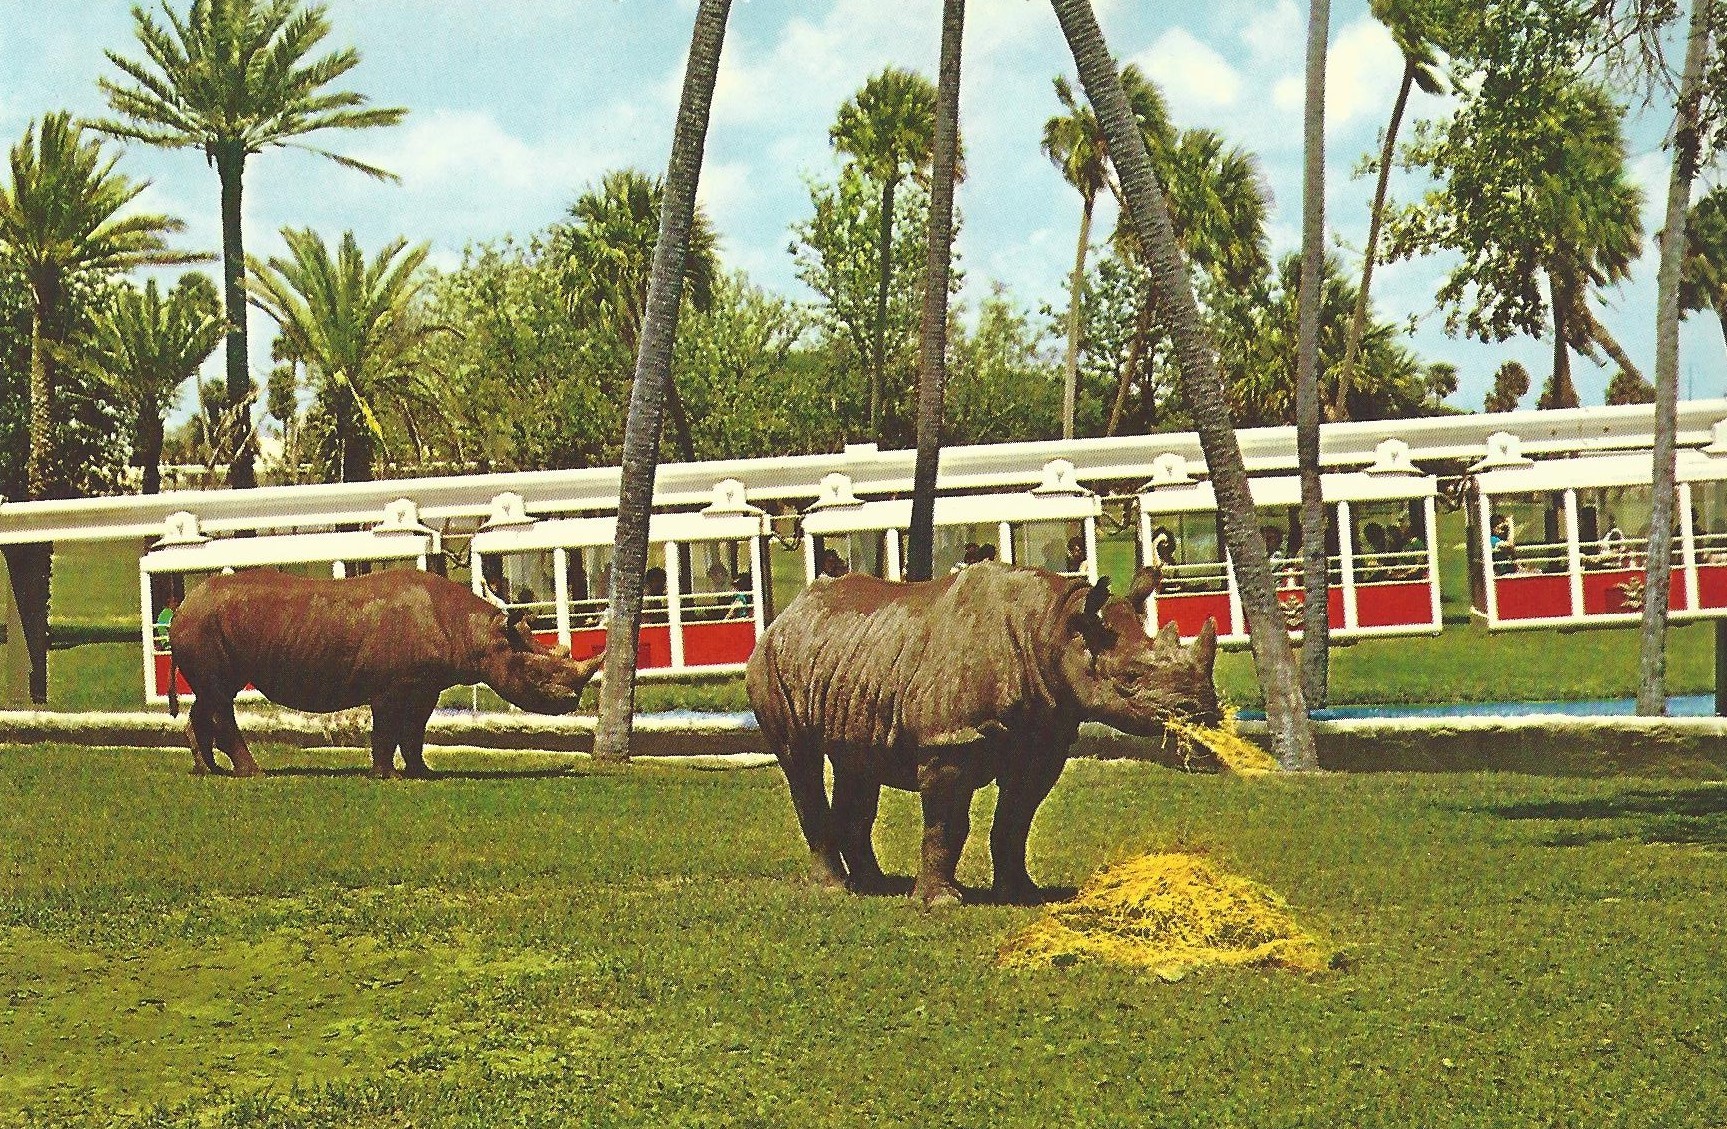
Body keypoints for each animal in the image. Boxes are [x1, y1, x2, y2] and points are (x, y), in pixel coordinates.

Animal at [168, 568, 604, 778]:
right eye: (535, 674)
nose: (572, 702)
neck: (477, 630)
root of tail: (180, 608)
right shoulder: (389, 686)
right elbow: (387, 729)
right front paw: (386, 776)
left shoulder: (426, 686)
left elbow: (414, 731)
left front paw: (422, 773)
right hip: (203, 626)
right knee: (220, 697)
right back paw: (253, 773)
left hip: (206, 625)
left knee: (211, 694)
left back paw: (208, 769)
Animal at [746, 560, 1221, 907]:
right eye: (1130, 677)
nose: (1206, 713)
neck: (1054, 625)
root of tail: (786, 614)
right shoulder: (949, 743)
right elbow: (946, 825)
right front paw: (940, 902)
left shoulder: (1041, 739)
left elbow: (1015, 820)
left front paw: (1022, 894)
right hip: (773, 661)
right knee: (800, 760)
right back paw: (832, 889)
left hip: (853, 660)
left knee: (856, 763)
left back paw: (875, 887)